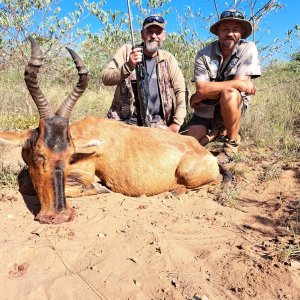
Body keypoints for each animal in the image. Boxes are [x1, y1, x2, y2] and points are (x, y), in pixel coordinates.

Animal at [0, 37, 220, 224]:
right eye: (39, 155)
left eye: (69, 155)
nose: (61, 216)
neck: (85, 132)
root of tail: (206, 153)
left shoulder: (85, 172)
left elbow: (28, 183)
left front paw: (100, 188)